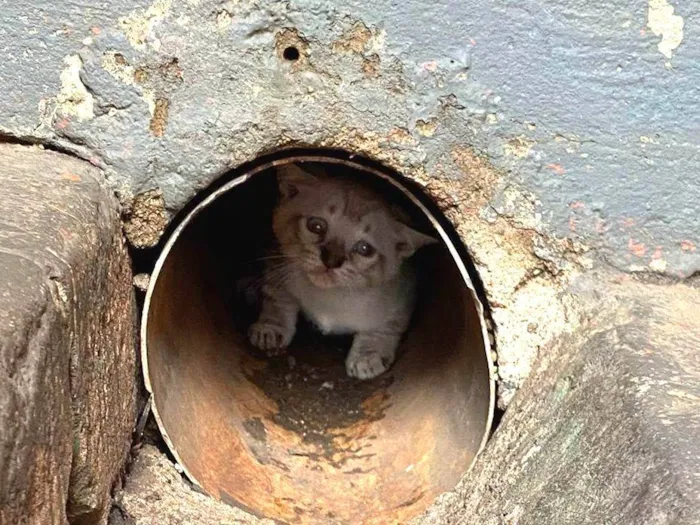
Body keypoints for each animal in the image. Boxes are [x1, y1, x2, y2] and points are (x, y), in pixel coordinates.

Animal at [246, 162, 432, 378]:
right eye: (316, 226)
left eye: (364, 249)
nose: (331, 260)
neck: (330, 299)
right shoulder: (277, 261)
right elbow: (277, 298)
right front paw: (270, 328)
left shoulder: (404, 295)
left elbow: (386, 327)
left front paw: (367, 356)